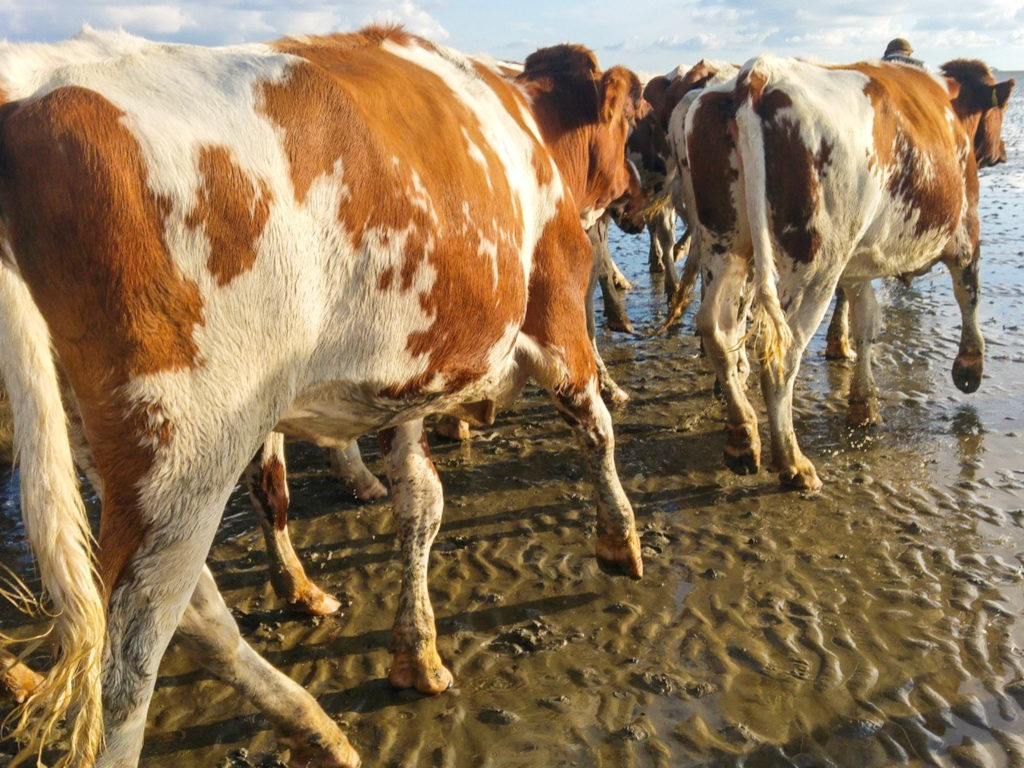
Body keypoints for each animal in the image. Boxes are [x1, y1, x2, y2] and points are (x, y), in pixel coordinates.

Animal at [0, 27, 643, 765]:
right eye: (632, 119)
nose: (637, 189)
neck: (530, 125)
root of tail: (27, 94)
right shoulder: (557, 307)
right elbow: (596, 427)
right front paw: (619, 540)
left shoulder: (409, 376)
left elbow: (421, 502)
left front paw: (415, 652)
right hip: (184, 452)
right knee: (126, 671)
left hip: (114, 451)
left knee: (198, 614)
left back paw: (312, 724)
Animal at [684, 54, 1011, 489]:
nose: (1002, 153)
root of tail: (758, 74)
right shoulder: (965, 228)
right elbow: (968, 291)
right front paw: (970, 366)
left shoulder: (856, 266)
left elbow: (865, 324)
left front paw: (863, 403)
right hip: (816, 264)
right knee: (780, 356)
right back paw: (793, 462)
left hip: (725, 242)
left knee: (717, 329)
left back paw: (743, 438)